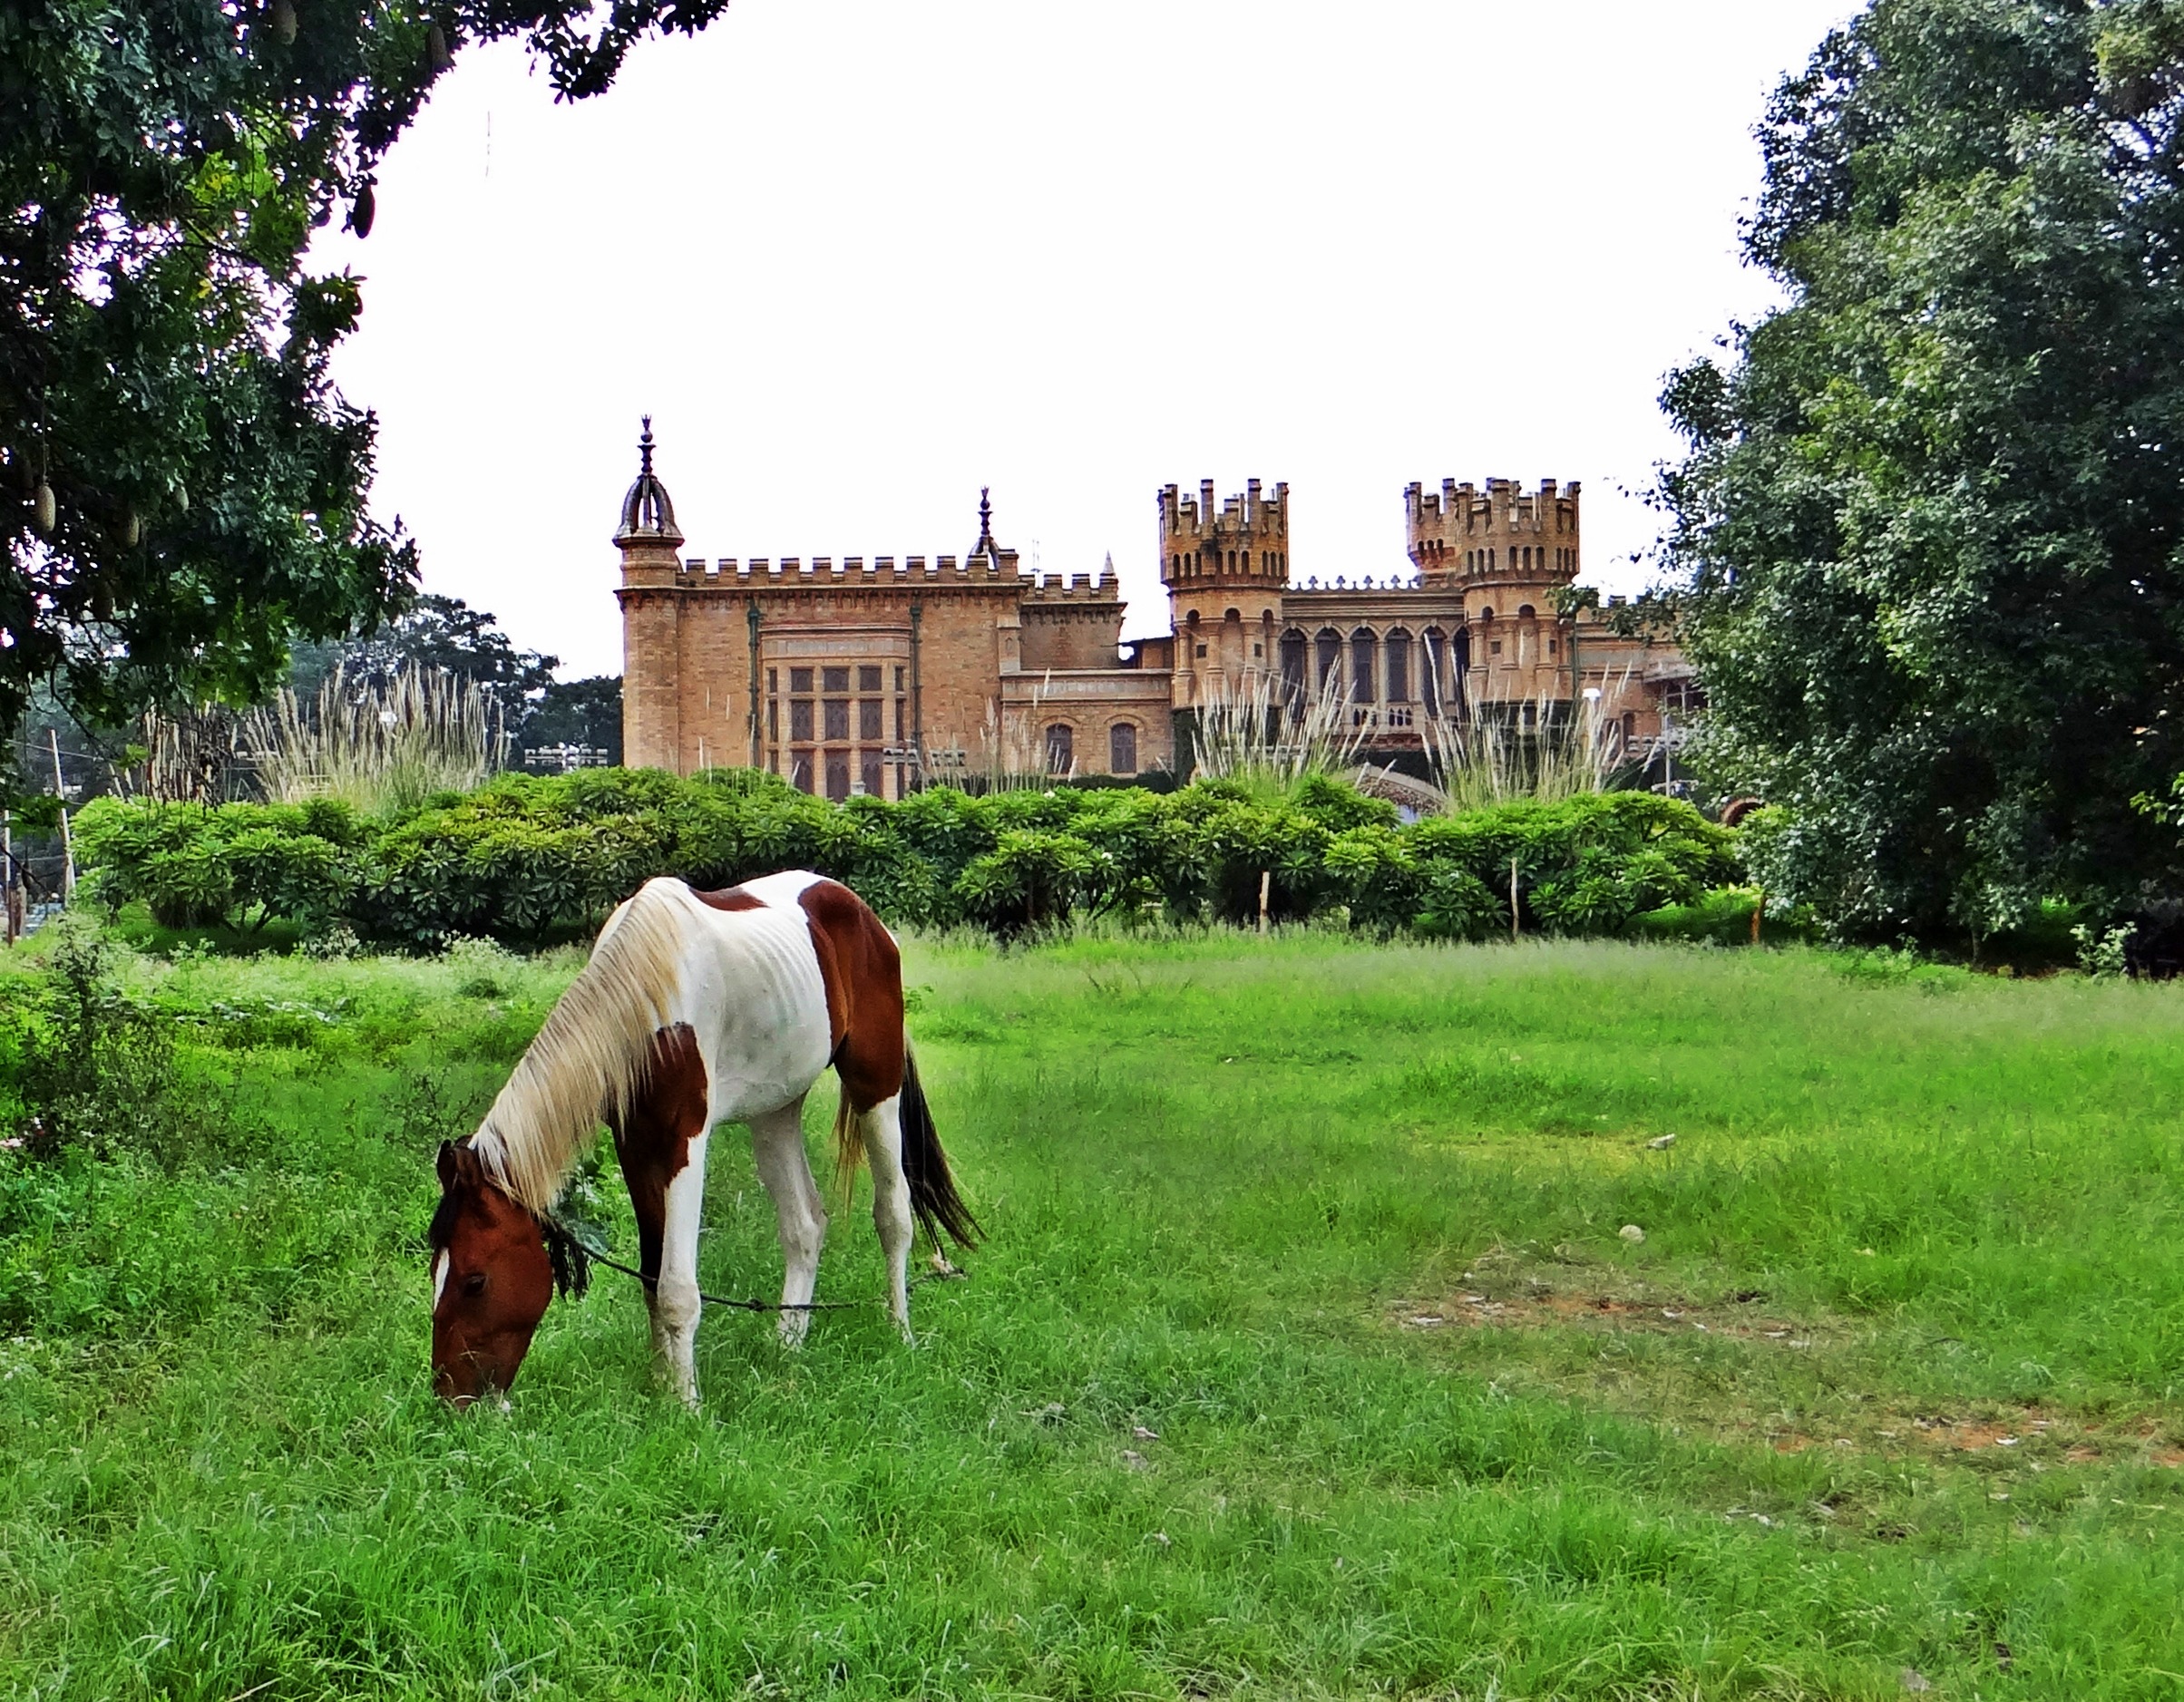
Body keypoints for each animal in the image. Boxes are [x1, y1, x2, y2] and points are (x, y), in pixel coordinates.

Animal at [425, 873, 973, 1406]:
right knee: (804, 1224)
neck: (646, 1005)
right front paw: (661, 1386)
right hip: (775, 1108)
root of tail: (866, 917)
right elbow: (651, 1275)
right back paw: (787, 1343)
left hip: (875, 1083)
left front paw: (687, 1404)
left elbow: (677, 1287)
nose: (453, 1399)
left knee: (893, 1213)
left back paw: (899, 1332)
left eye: (475, 1281)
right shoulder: (634, 1144)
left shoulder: (683, 1142)